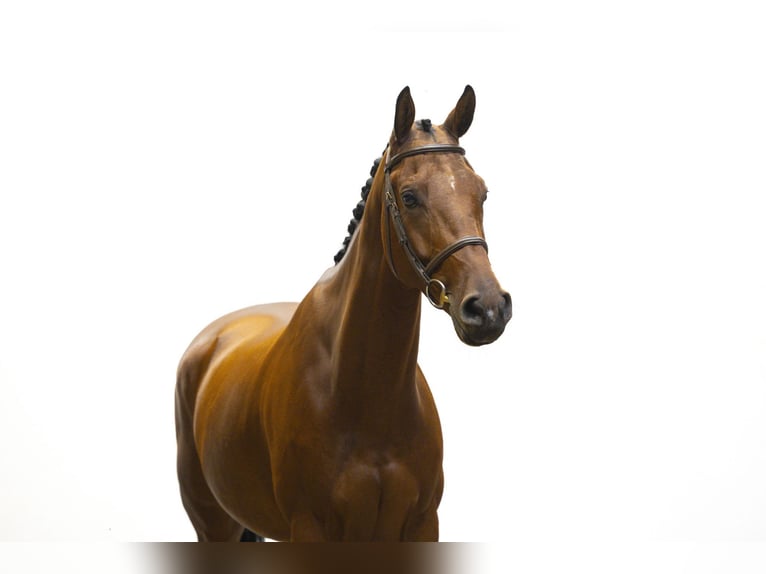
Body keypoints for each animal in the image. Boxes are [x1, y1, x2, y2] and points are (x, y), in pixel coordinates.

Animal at [175, 85, 512, 542]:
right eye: (409, 197)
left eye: (481, 192)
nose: (488, 307)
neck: (365, 397)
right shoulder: (310, 528)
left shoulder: (422, 525)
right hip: (213, 523)